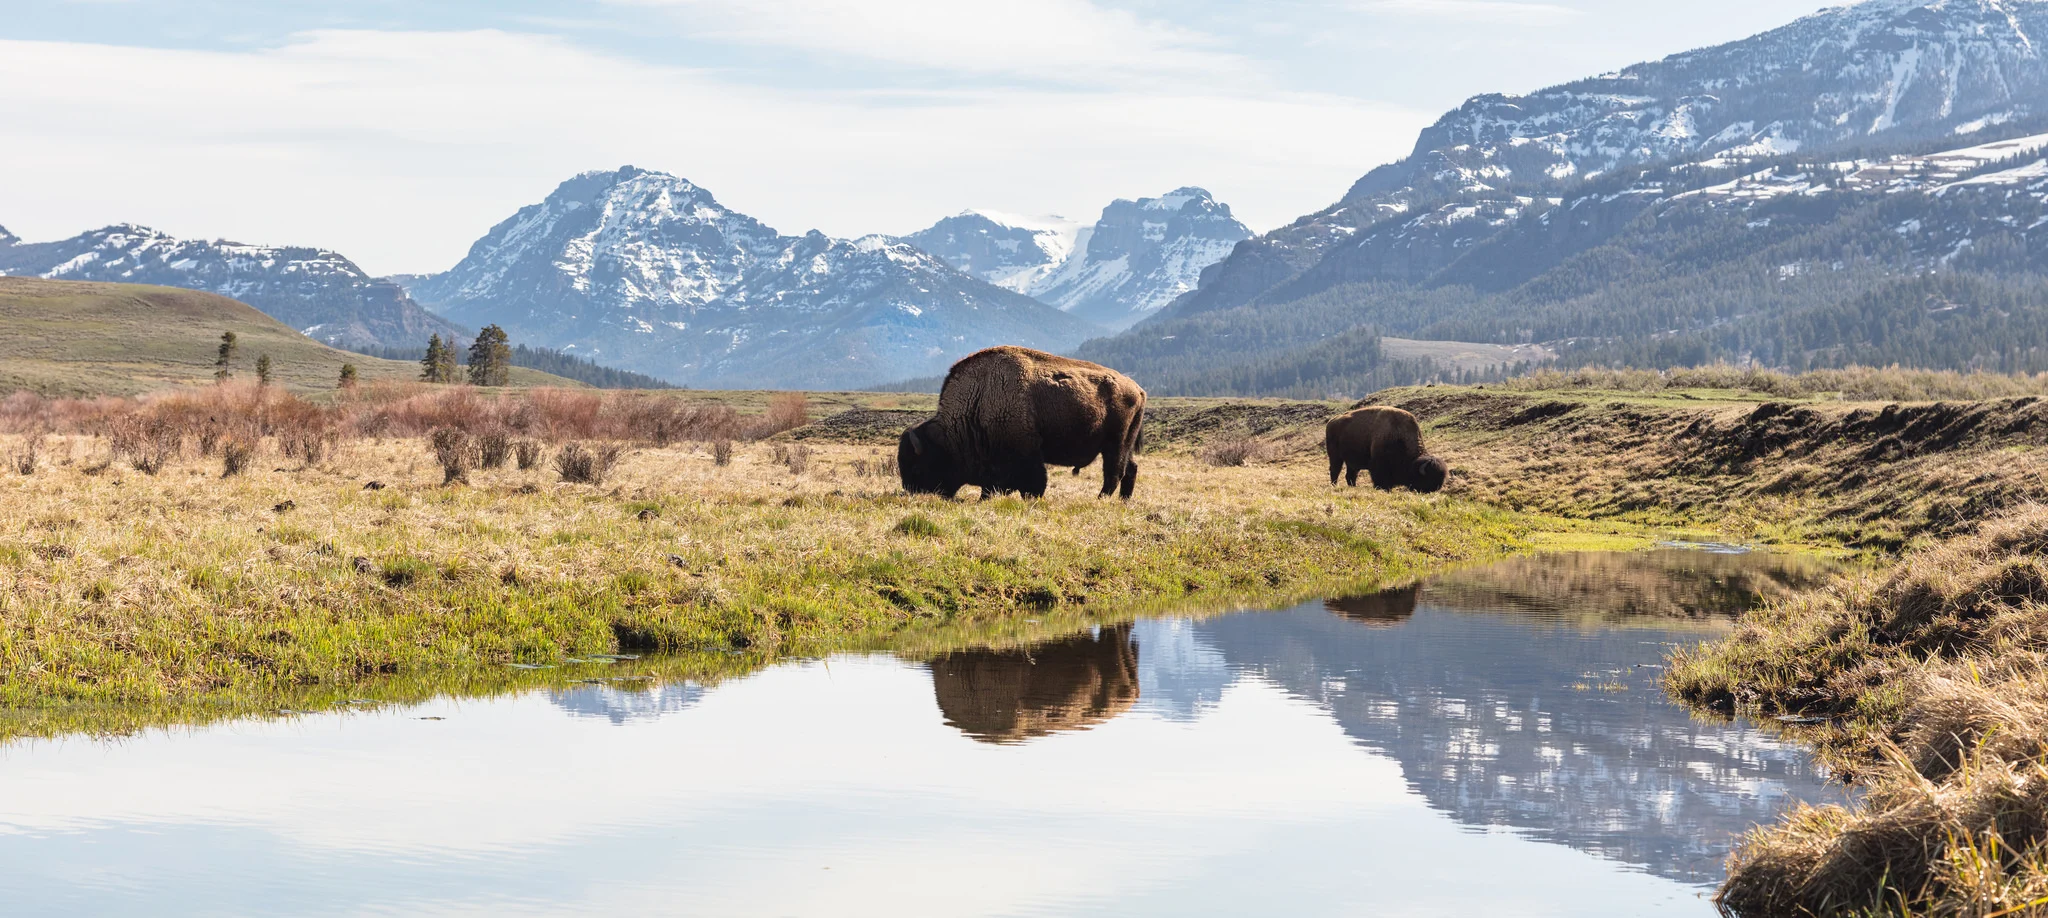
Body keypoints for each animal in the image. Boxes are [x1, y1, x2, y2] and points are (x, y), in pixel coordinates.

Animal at [900, 346, 1146, 500]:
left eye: (917, 467)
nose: (912, 492)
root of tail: (1137, 389)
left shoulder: (1027, 454)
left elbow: (1034, 482)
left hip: (1115, 444)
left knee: (1114, 473)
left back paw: (1100, 500)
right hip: (1124, 444)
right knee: (1130, 468)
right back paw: (1123, 501)